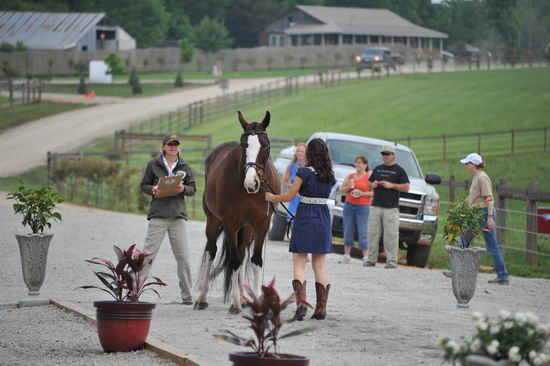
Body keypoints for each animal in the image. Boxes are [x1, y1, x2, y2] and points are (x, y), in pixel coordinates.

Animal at [194, 110, 280, 314]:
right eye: (244, 145)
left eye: (265, 145)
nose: (251, 182)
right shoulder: (231, 225)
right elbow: (233, 261)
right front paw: (234, 303)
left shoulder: (262, 224)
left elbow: (255, 260)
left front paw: (256, 300)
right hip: (213, 221)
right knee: (211, 251)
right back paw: (202, 297)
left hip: (247, 229)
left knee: (243, 254)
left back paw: (243, 296)